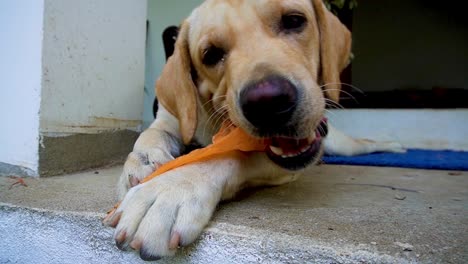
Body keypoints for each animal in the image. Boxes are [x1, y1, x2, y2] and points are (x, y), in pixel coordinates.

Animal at [104, 0, 404, 260]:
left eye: (294, 21)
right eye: (211, 54)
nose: (269, 102)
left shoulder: (280, 166)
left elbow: (229, 155)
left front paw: (171, 187)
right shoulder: (170, 120)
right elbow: (149, 135)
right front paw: (143, 161)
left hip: (341, 144)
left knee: (364, 143)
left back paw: (395, 146)